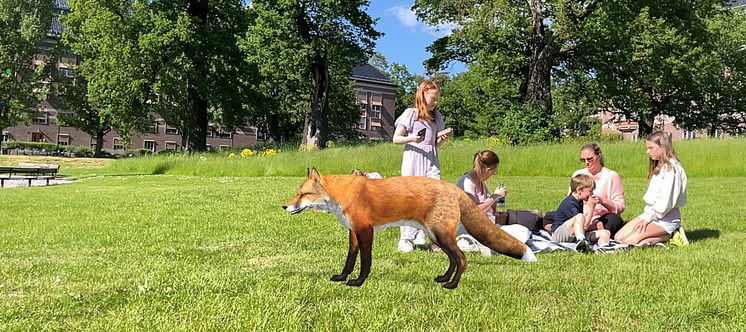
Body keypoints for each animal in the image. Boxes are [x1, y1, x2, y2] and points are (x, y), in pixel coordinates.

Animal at [280, 169, 536, 288]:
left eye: (303, 194)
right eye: (297, 193)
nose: (285, 206)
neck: (345, 194)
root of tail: (454, 189)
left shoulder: (365, 230)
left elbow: (365, 262)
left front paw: (358, 282)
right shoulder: (353, 232)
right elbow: (350, 259)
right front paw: (342, 277)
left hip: (441, 235)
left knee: (462, 259)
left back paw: (452, 285)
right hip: (437, 236)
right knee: (454, 259)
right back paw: (444, 278)